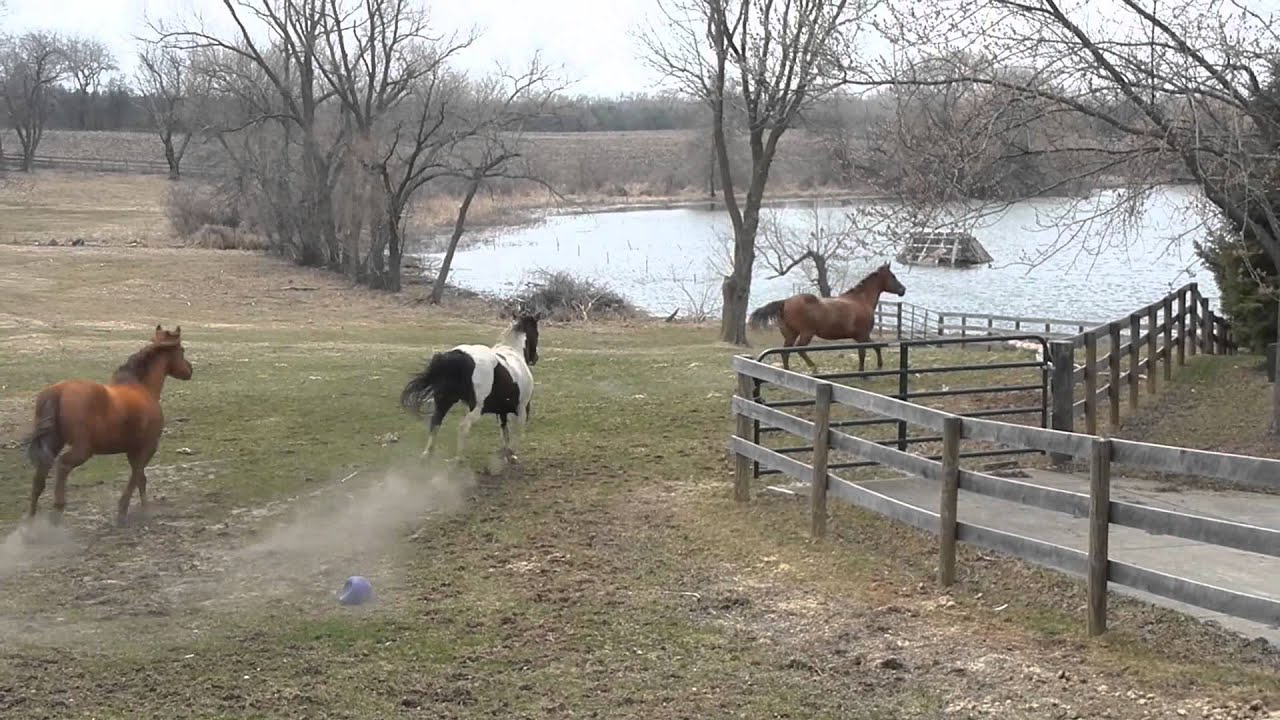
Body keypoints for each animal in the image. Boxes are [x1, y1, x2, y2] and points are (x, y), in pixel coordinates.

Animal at [23, 325, 194, 528]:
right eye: (182, 350)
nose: (190, 370)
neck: (142, 388)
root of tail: (58, 391)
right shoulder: (147, 447)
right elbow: (136, 476)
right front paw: (125, 511)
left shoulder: (133, 449)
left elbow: (141, 479)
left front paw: (143, 509)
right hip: (82, 449)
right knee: (62, 465)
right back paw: (57, 512)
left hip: (54, 443)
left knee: (38, 481)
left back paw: (31, 521)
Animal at [400, 312, 540, 464]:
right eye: (537, 333)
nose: (535, 358)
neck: (514, 353)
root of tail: (457, 356)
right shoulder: (522, 408)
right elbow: (517, 432)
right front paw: (513, 456)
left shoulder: (502, 411)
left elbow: (505, 432)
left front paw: (508, 453)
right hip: (476, 408)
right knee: (462, 427)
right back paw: (458, 459)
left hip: (444, 401)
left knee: (435, 422)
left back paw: (427, 454)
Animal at [748, 263, 907, 372]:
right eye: (893, 276)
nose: (903, 290)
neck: (860, 301)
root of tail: (785, 302)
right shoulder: (862, 336)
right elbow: (864, 352)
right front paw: (865, 372)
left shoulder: (861, 337)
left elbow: (875, 348)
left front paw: (877, 366)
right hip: (806, 333)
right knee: (799, 349)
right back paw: (814, 368)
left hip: (791, 334)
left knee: (785, 352)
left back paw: (787, 371)